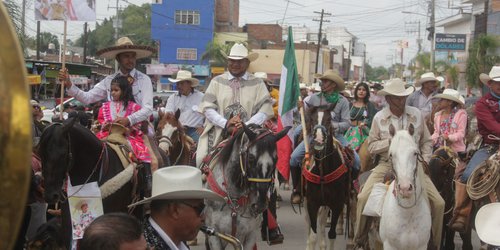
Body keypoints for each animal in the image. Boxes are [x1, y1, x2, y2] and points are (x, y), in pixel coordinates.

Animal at [302, 104, 350, 249]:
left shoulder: (336, 204)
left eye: (329, 120)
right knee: (308, 225)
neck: (323, 171)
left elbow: (332, 234)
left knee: (323, 223)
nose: (318, 139)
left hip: (325, 205)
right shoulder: (312, 203)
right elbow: (313, 235)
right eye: (311, 120)